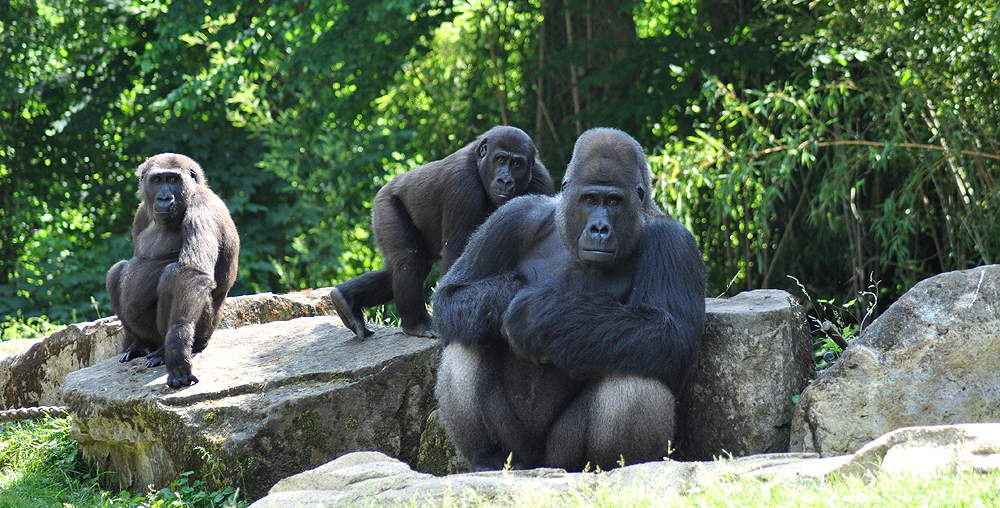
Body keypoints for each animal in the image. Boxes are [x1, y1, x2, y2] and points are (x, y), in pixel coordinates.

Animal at [330, 126, 556, 342]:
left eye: (517, 164)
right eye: (501, 159)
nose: (505, 180)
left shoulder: (540, 180)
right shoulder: (462, 185)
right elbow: (455, 255)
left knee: (409, 267)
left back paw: (345, 299)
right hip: (385, 205)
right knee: (409, 260)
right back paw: (416, 324)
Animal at [434, 127, 708, 472]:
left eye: (614, 202)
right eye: (589, 200)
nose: (599, 229)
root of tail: (540, 464)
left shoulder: (675, 242)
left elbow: (672, 333)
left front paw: (534, 315)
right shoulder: (514, 216)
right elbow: (451, 295)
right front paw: (510, 294)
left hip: (562, 457)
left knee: (635, 376)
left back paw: (615, 467)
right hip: (522, 453)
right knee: (466, 341)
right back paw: (491, 457)